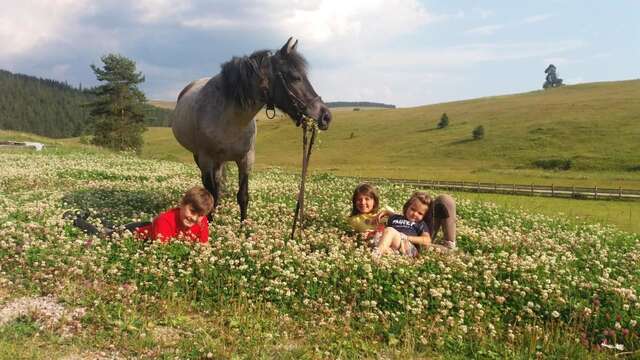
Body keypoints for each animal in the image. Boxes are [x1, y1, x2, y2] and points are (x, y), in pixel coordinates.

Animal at [172, 38, 332, 221]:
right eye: (294, 77)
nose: (326, 116)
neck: (231, 120)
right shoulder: (206, 159)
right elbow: (210, 193)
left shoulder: (246, 159)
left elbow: (243, 196)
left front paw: (243, 226)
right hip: (200, 157)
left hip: (220, 161)